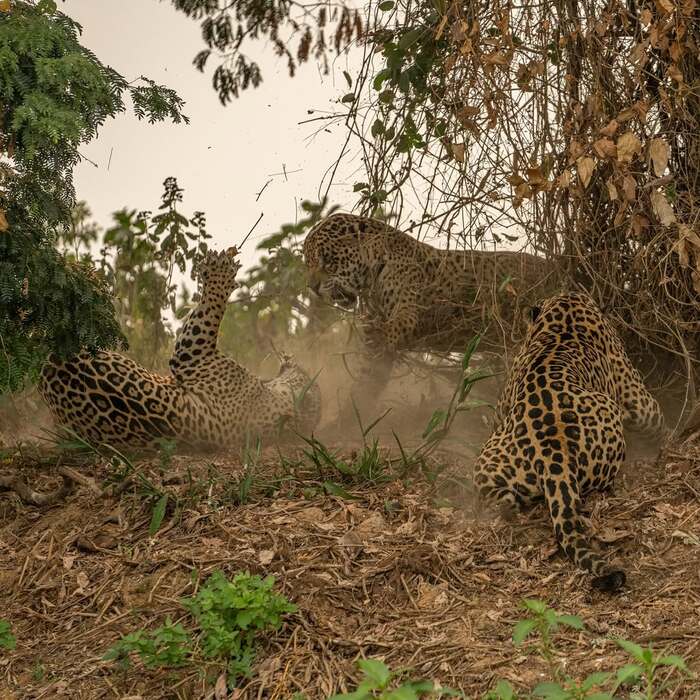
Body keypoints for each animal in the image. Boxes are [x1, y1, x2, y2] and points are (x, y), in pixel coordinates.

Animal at [473, 291, 666, 591]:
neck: (566, 314)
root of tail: (552, 454)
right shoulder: (636, 396)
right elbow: (655, 419)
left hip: (489, 461)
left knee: (502, 500)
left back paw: (506, 507)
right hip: (610, 421)